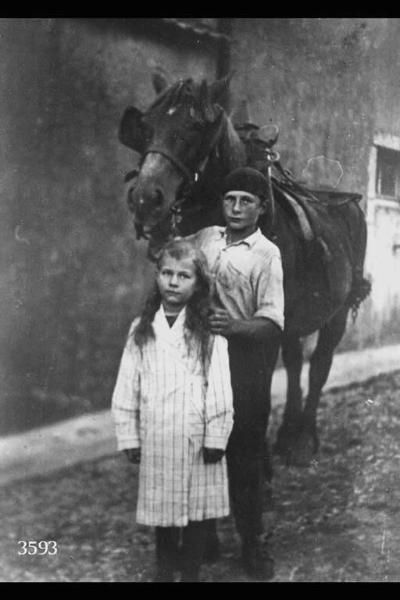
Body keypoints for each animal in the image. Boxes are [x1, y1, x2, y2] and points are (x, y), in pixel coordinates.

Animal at [119, 74, 372, 468]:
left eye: (195, 127)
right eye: (146, 125)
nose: (146, 198)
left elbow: (258, 389)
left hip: (338, 312)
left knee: (319, 365)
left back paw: (304, 438)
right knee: (295, 362)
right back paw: (287, 433)